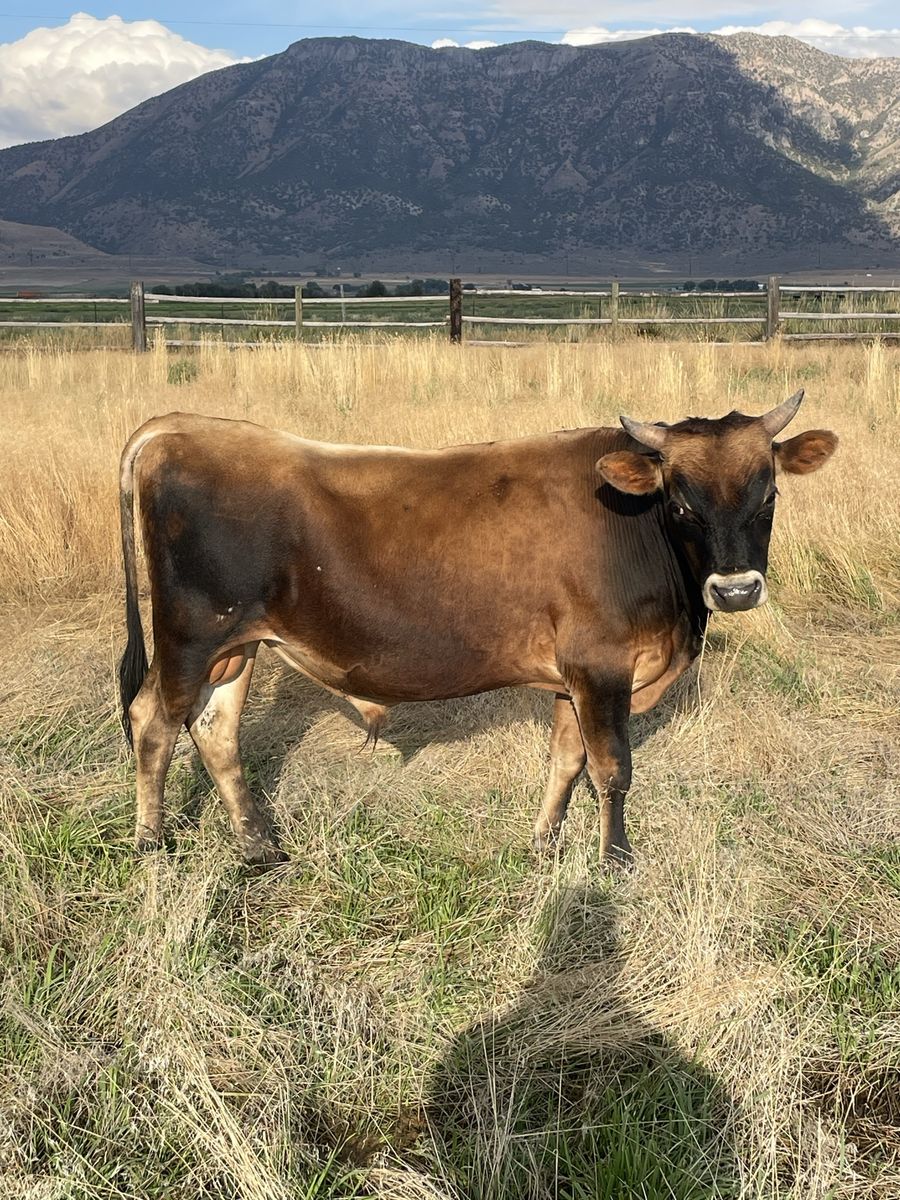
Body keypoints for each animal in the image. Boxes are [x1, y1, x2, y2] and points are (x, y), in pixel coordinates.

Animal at [118, 393, 836, 866]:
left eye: (769, 494)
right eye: (682, 501)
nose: (736, 589)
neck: (635, 527)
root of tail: (178, 428)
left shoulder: (569, 677)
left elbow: (566, 760)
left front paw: (545, 843)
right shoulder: (602, 666)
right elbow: (612, 768)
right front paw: (615, 860)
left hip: (237, 647)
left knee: (216, 731)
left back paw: (257, 844)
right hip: (190, 637)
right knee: (153, 721)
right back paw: (151, 842)